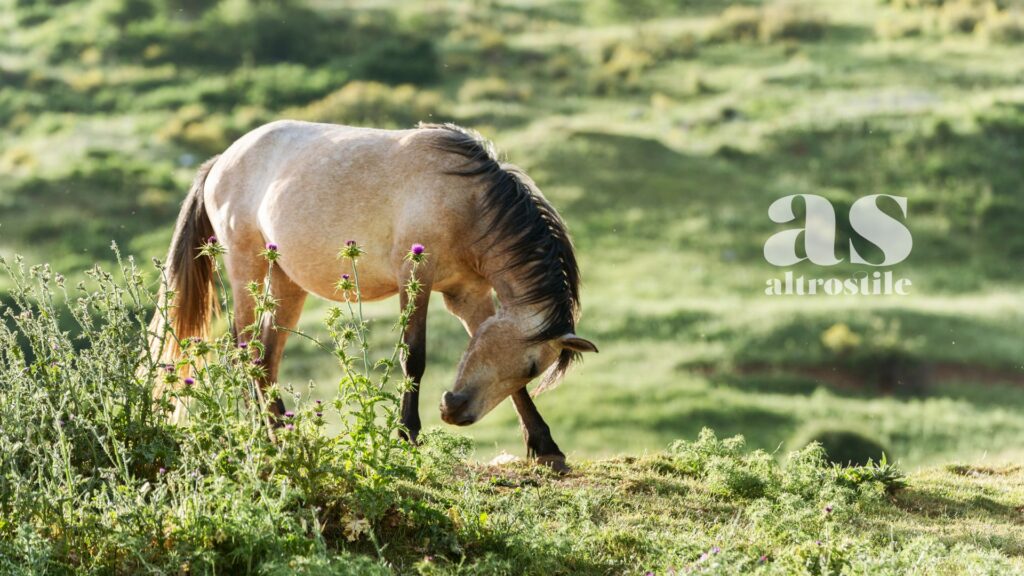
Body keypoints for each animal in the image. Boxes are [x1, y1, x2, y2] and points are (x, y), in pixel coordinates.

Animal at [153, 120, 597, 472]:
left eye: (531, 367)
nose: (454, 410)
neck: (467, 201)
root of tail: (220, 162)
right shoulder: (414, 278)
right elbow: (413, 356)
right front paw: (408, 434)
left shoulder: (468, 294)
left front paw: (545, 446)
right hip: (248, 266)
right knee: (244, 349)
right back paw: (265, 435)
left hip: (285, 281)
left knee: (265, 355)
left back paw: (282, 433)